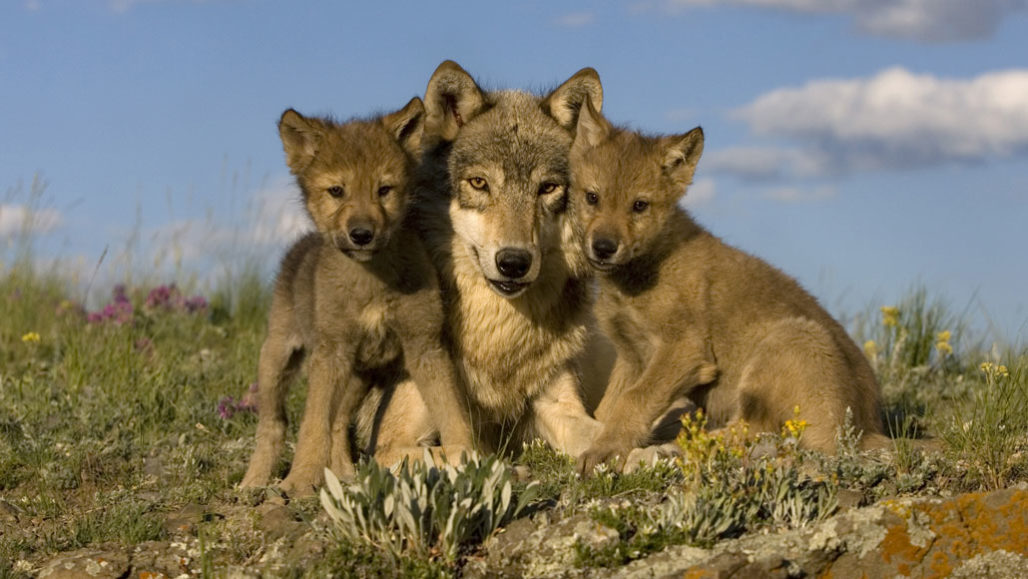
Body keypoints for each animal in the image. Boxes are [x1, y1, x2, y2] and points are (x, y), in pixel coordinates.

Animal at [239, 98, 473, 496]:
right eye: (337, 191)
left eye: (384, 189)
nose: (361, 234)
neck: (372, 282)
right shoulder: (331, 352)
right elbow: (311, 426)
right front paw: (299, 480)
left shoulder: (425, 344)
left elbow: (453, 413)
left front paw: (472, 458)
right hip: (277, 358)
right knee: (273, 425)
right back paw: (253, 483)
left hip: (359, 377)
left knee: (337, 423)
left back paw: (345, 474)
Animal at [367, 61, 609, 460]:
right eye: (479, 183)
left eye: (547, 188)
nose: (513, 262)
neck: (496, 337)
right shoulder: (389, 443)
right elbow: (468, 451)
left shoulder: (557, 404)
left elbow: (607, 433)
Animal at [567, 98, 888, 474]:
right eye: (592, 197)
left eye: (639, 205)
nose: (603, 247)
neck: (646, 270)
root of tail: (867, 430)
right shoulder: (631, 356)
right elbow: (607, 408)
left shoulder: (685, 349)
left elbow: (634, 401)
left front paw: (605, 451)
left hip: (792, 338)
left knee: (762, 431)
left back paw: (675, 446)